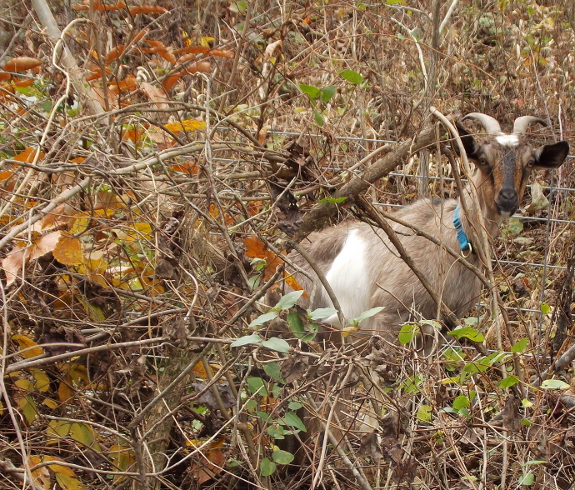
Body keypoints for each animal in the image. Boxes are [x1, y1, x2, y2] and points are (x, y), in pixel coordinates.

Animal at [286, 113, 568, 346]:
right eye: (483, 159)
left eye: (530, 163)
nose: (507, 198)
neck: (453, 238)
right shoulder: (389, 316)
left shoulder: (444, 326)